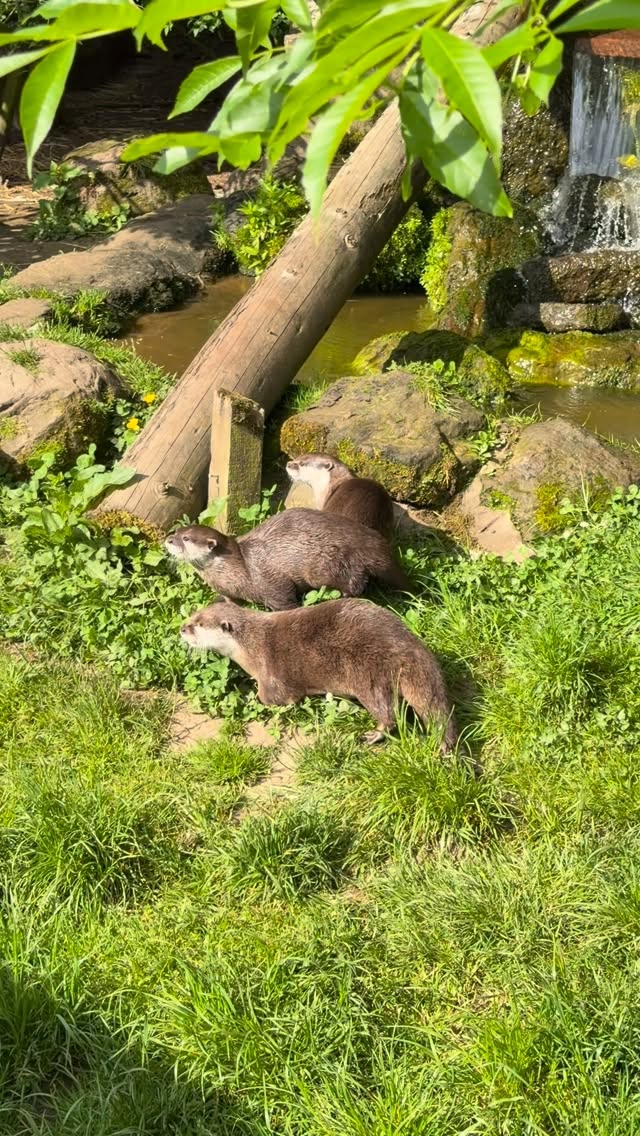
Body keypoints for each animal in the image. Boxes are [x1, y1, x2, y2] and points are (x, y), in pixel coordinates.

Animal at [164, 508, 410, 611]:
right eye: (177, 531)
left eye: (186, 538)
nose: (168, 540)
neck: (238, 569)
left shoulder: (271, 583)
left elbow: (284, 601)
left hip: (328, 564)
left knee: (355, 583)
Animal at [181, 597, 457, 751]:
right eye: (193, 615)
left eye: (198, 625)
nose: (182, 628)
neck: (251, 646)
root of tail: (407, 649)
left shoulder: (272, 677)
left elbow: (273, 698)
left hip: (369, 677)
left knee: (388, 713)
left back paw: (374, 733)